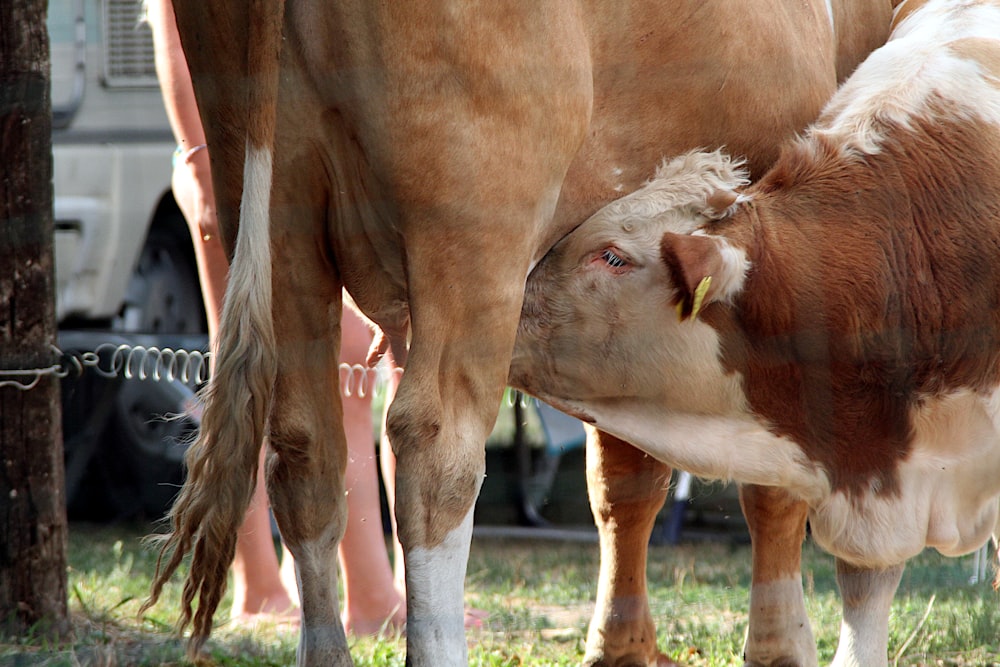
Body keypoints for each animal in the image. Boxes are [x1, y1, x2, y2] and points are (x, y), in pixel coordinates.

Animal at [141, 1, 892, 667]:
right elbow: (775, 472)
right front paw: (780, 646)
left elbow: (624, 475)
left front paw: (621, 645)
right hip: (473, 232)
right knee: (434, 454)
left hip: (274, 213)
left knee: (306, 455)